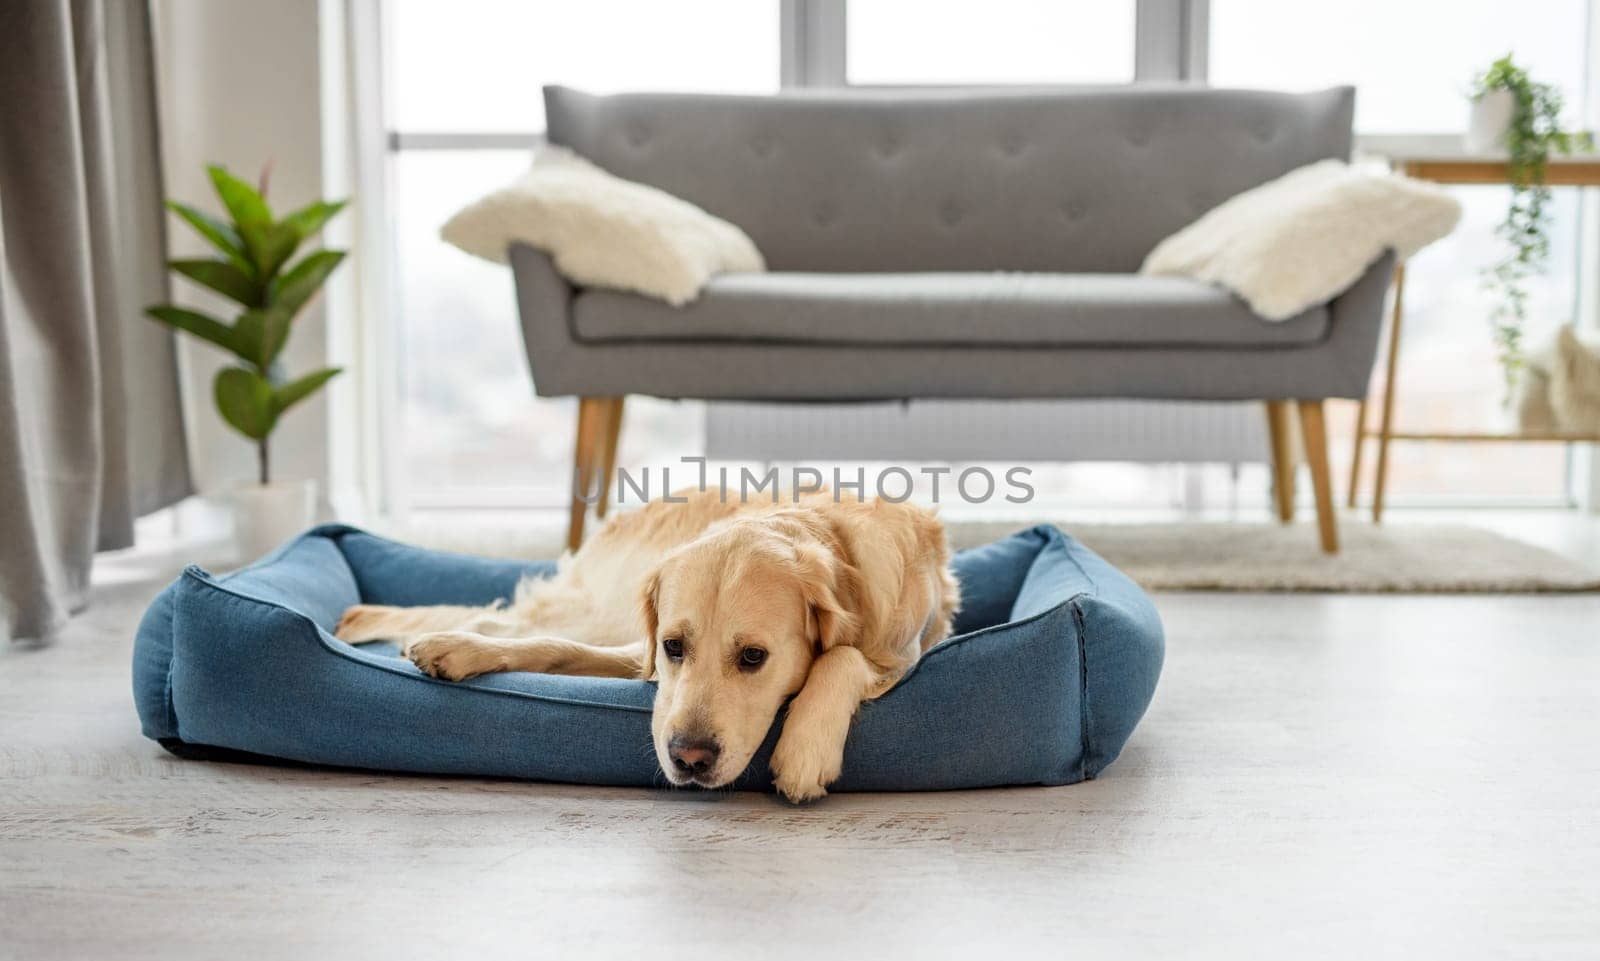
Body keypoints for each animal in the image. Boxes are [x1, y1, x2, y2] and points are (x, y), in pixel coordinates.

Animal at [332, 486, 953, 802]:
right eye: (675, 647)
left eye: (753, 657)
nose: (689, 759)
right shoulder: (643, 654)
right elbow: (554, 647)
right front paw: (457, 650)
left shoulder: (901, 654)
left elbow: (844, 654)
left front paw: (805, 749)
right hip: (592, 610)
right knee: (514, 621)